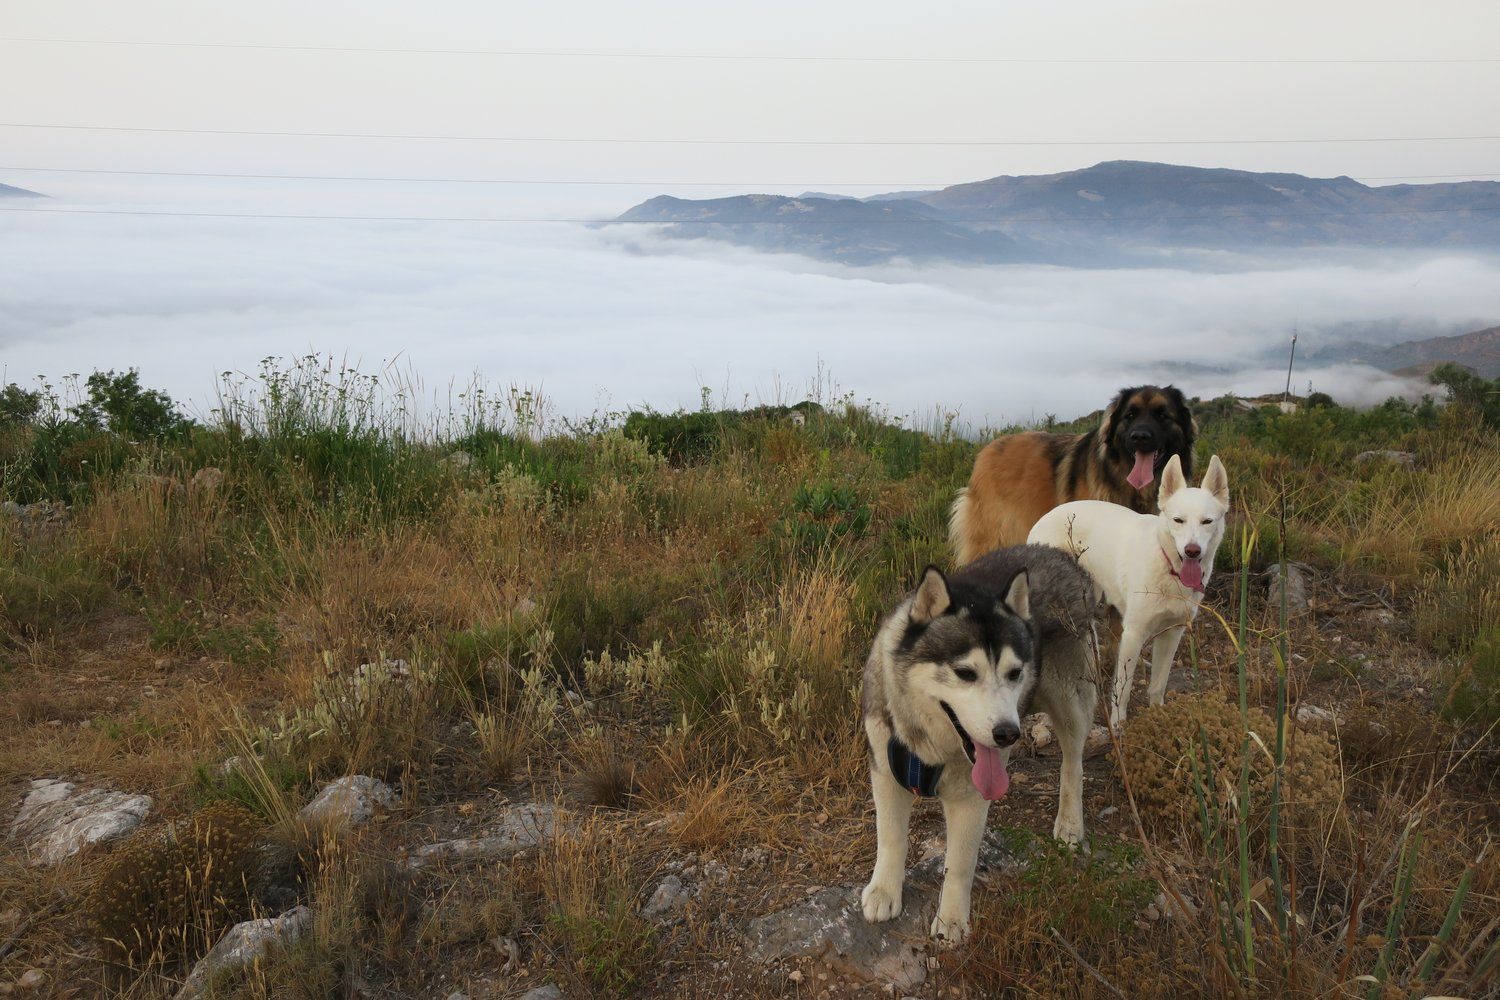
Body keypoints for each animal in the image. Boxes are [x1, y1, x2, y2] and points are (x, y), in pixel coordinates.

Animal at [864, 542, 1098, 941]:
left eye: (1015, 673)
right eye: (965, 673)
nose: (1007, 734)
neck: (930, 744)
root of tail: (1059, 553)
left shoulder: (970, 797)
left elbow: (960, 863)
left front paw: (952, 920)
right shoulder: (885, 771)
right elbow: (891, 838)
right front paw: (884, 892)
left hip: (1066, 697)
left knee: (1073, 760)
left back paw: (1069, 822)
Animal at [1032, 452, 1230, 728]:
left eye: (1207, 521)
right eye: (1178, 520)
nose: (1192, 551)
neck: (1167, 566)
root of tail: (1043, 518)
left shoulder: (1173, 633)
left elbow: (1158, 684)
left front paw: (1158, 716)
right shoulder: (1133, 634)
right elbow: (1122, 689)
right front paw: (1118, 726)